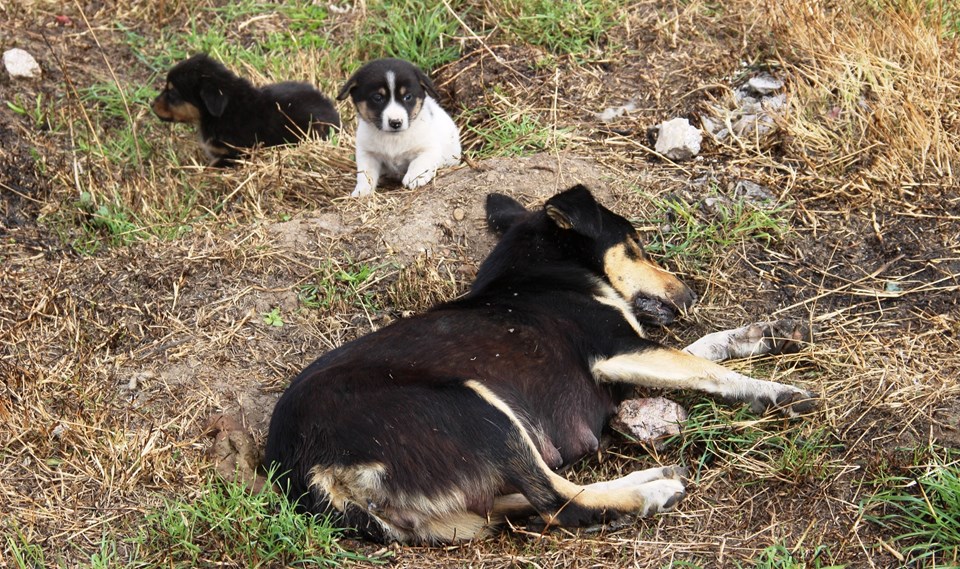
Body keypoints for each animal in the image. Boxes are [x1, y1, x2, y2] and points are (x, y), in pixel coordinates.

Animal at [264, 184, 816, 544]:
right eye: (634, 246)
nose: (688, 293)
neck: (541, 274)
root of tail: (305, 466)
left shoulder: (627, 360)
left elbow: (706, 347)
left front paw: (765, 334)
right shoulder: (616, 351)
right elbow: (708, 371)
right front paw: (775, 392)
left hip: (461, 491)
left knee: (520, 505)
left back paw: (646, 477)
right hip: (476, 408)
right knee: (557, 502)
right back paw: (650, 492)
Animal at [338, 57, 462, 195]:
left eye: (407, 97)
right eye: (377, 97)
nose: (395, 122)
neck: (394, 138)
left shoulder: (429, 148)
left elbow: (420, 162)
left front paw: (415, 177)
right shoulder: (367, 153)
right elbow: (365, 174)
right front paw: (362, 191)